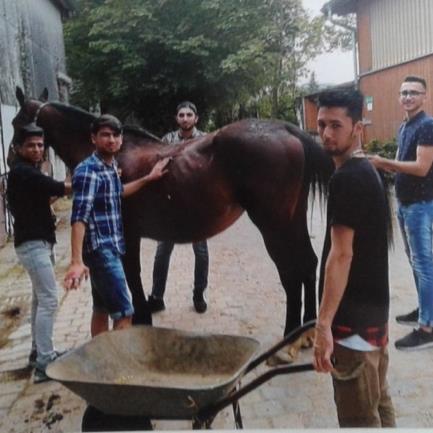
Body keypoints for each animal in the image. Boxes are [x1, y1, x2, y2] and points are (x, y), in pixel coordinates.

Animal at [11, 88, 334, 336]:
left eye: (17, 122)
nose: (13, 158)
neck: (110, 156)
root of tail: (285, 128)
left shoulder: (128, 234)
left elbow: (133, 275)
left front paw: (142, 318)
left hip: (274, 224)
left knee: (291, 270)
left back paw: (291, 332)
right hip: (293, 219)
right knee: (307, 263)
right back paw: (306, 331)